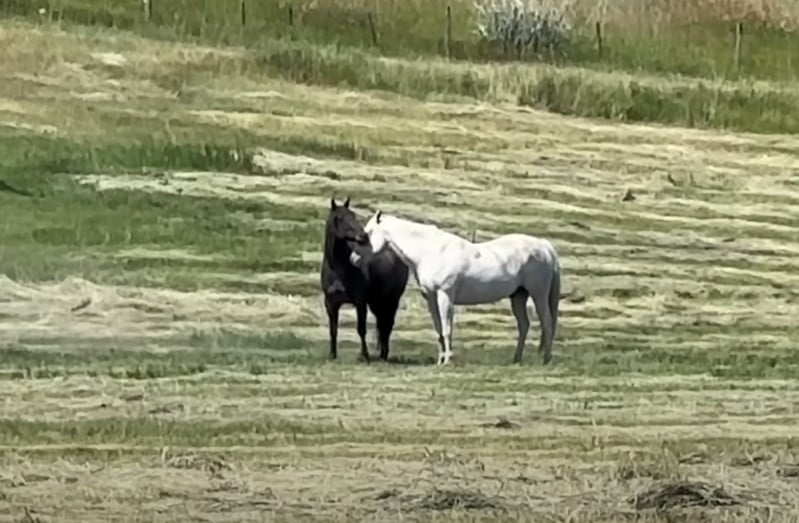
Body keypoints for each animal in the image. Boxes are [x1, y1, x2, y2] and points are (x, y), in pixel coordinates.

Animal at [318, 199, 410, 362]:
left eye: (353, 215)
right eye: (339, 218)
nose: (363, 236)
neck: (339, 270)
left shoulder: (360, 302)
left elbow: (361, 329)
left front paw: (364, 356)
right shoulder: (331, 303)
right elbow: (333, 330)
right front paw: (332, 355)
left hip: (392, 299)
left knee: (388, 324)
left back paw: (384, 354)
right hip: (376, 301)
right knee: (382, 323)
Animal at [364, 211, 564, 366]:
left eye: (368, 232)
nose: (359, 257)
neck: (432, 251)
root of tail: (544, 246)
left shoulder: (445, 295)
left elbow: (447, 328)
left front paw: (447, 360)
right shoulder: (431, 297)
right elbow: (438, 329)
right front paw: (440, 360)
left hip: (538, 295)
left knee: (547, 323)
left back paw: (545, 360)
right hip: (518, 296)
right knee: (524, 325)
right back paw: (516, 359)